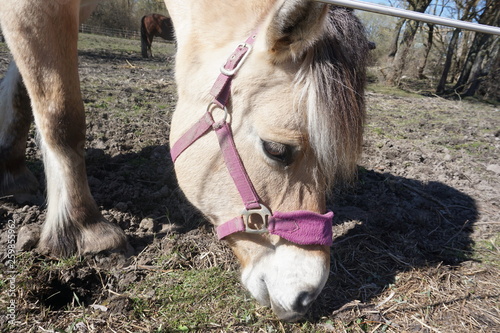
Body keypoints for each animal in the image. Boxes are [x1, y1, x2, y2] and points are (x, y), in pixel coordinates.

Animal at [0, 0, 368, 322]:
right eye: (276, 149)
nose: (307, 295)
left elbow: (22, 91)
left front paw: (13, 173)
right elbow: (61, 114)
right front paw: (87, 230)